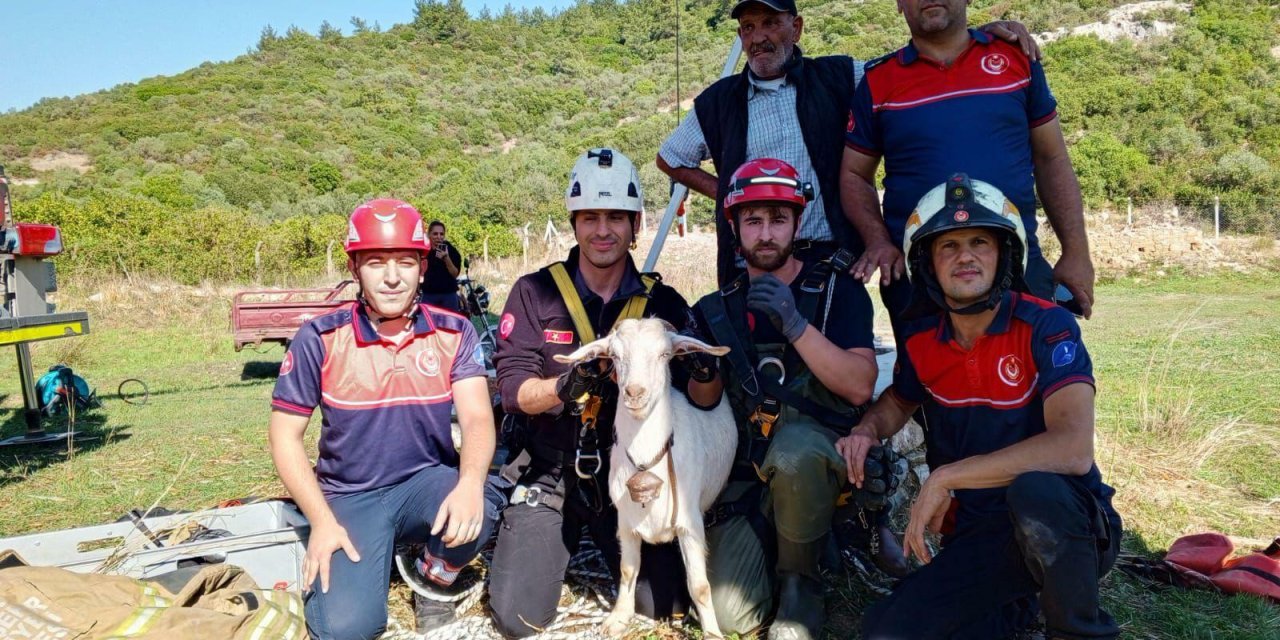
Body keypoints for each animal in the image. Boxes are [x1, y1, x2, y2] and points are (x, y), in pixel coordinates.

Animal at [552, 317, 742, 637]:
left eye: (665, 354)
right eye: (614, 356)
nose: (635, 392)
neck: (647, 460)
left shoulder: (689, 525)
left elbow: (700, 586)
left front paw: (713, 633)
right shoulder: (626, 524)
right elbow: (628, 570)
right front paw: (618, 618)